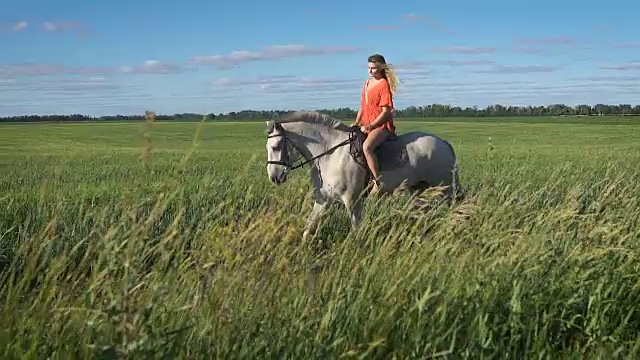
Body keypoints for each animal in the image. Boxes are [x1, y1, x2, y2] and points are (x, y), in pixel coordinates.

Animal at [262, 111, 462, 240]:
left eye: (276, 147)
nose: (274, 177)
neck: (331, 153)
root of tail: (444, 143)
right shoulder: (324, 199)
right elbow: (309, 225)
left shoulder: (352, 200)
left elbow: (356, 228)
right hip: (421, 190)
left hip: (445, 189)